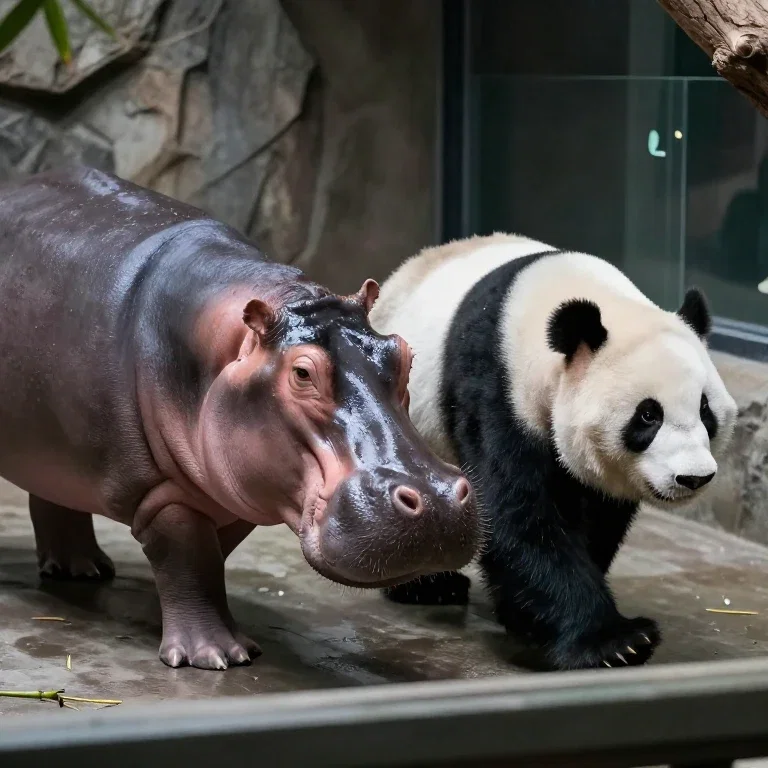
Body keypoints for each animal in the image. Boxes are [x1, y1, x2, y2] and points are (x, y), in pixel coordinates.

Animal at [0, 167, 480, 670]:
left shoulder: (235, 489)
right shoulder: (164, 493)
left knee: (54, 493)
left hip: (55, 442)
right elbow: (190, 554)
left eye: (404, 353)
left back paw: (82, 570)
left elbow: (209, 556)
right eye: (302, 373)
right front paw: (216, 657)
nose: (439, 499)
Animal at [369, 233, 738, 671]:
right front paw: (618, 642)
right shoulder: (495, 388)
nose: (693, 477)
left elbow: (596, 518)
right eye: (648, 415)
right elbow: (518, 513)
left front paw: (528, 620)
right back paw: (429, 586)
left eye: (705, 410)